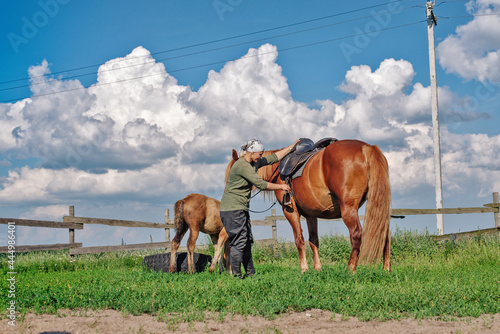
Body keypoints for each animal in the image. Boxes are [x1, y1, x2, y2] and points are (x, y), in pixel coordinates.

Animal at [225, 140, 392, 272]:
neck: (278, 169)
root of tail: (368, 147)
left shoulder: (290, 211)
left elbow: (299, 239)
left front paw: (304, 268)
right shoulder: (311, 214)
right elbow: (313, 240)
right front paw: (317, 268)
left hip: (349, 209)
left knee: (356, 234)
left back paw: (350, 269)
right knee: (384, 234)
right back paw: (386, 268)